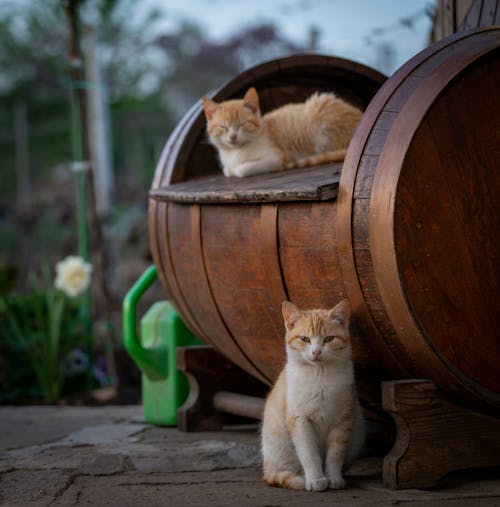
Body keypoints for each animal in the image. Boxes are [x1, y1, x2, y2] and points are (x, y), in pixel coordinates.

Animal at [201, 85, 362, 177]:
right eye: (222, 127)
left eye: (242, 124)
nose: (233, 136)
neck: (236, 153)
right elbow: (227, 171)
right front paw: (230, 170)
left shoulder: (276, 158)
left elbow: (240, 170)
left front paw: (238, 169)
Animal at [262, 302, 364, 492]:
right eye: (304, 339)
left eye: (329, 339)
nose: (316, 352)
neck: (319, 376)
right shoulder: (300, 421)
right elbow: (309, 454)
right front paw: (316, 479)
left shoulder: (343, 421)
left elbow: (335, 455)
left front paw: (333, 478)